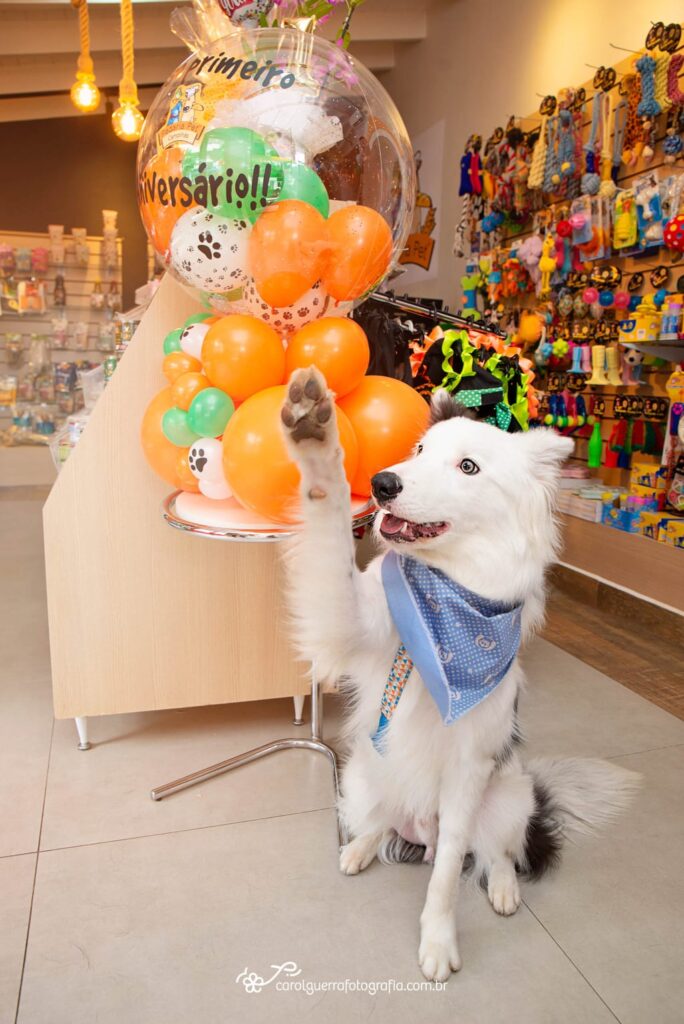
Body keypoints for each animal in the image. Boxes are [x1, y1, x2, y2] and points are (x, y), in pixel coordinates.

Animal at [280, 368, 638, 983]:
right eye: (420, 450)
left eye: (468, 467)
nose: (381, 482)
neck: (445, 604)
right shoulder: (350, 625)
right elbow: (329, 534)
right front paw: (316, 437)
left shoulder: (469, 769)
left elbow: (448, 870)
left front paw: (438, 942)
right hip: (361, 776)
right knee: (378, 821)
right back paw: (360, 847)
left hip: (512, 795)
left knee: (497, 852)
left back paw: (503, 889)